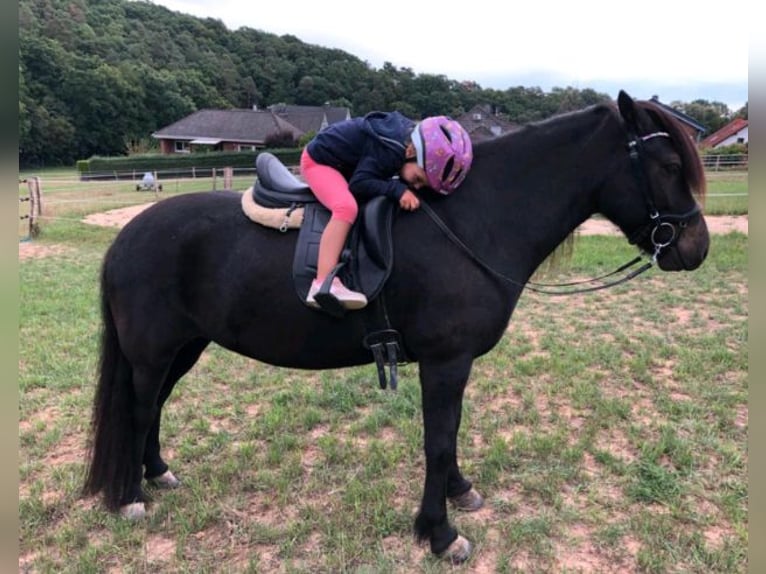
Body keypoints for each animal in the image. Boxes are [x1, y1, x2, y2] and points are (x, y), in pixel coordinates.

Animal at [82, 92, 708, 564]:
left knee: (154, 408)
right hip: (153, 352)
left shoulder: (453, 365)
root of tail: (126, 237)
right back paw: (132, 496)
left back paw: (158, 474)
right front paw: (440, 533)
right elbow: (437, 441)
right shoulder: (444, 362)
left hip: (182, 348)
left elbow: (450, 435)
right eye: (671, 167)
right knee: (140, 408)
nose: (696, 248)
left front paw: (459, 492)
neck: (471, 221)